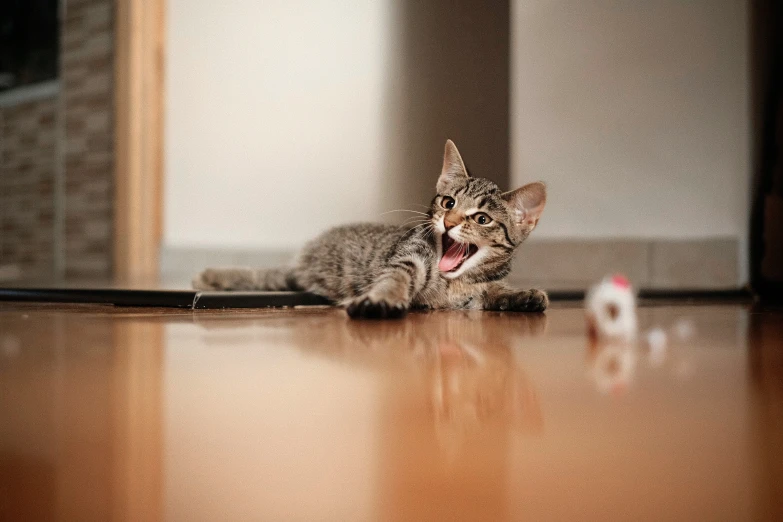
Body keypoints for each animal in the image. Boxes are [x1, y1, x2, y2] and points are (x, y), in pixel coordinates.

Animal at [195, 138, 548, 316]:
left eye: (482, 219)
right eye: (448, 203)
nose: (448, 223)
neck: (455, 282)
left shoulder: (474, 294)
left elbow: (493, 291)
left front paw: (523, 295)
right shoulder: (409, 259)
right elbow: (396, 278)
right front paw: (382, 299)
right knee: (264, 276)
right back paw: (211, 276)